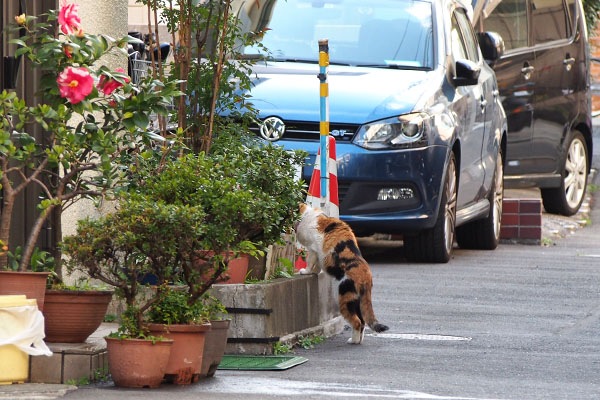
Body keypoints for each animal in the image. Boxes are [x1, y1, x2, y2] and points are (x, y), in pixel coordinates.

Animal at [296, 203, 390, 344]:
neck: (307, 215)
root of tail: (366, 275)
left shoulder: (313, 248)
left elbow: (310, 262)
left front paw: (305, 272)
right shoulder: (318, 254)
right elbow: (317, 265)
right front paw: (315, 272)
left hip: (345, 298)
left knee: (357, 322)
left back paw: (353, 341)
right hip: (357, 303)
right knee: (362, 321)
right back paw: (358, 340)